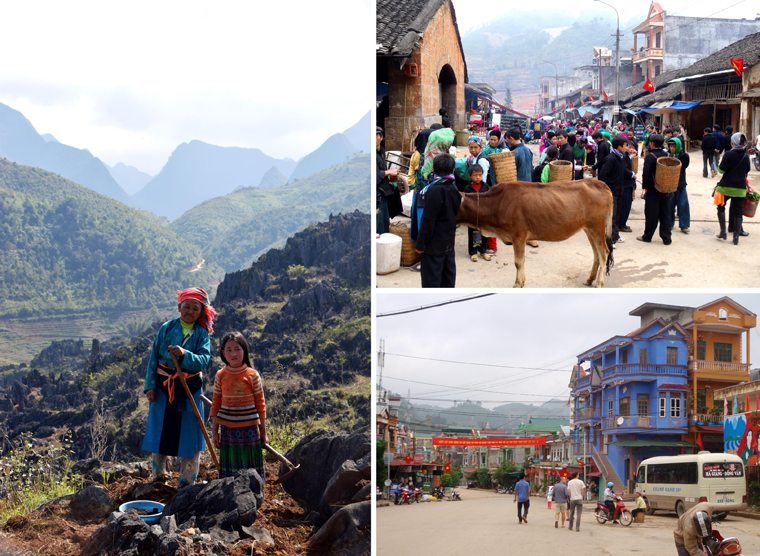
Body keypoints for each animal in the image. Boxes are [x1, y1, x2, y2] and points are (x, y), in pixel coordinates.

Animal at [458, 180, 612, 288]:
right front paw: (522, 281)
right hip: (588, 229)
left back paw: (599, 283)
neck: (496, 203)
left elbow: (518, 262)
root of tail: (601, 183)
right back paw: (590, 279)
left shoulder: (518, 236)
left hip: (597, 227)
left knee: (604, 252)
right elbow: (521, 262)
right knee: (596, 254)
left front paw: (518, 283)